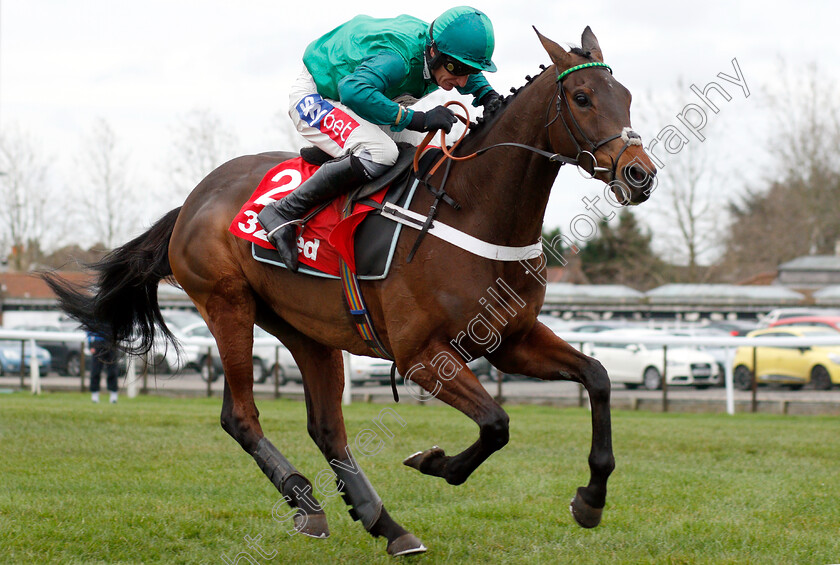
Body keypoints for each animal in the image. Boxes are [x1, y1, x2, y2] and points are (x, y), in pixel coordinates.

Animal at [46, 27, 656, 556]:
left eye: (626, 96)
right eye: (581, 97)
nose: (639, 174)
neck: (474, 212)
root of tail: (193, 201)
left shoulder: (511, 340)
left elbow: (598, 378)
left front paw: (591, 499)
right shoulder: (421, 356)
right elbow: (496, 424)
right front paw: (434, 462)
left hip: (307, 329)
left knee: (326, 428)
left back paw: (386, 524)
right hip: (227, 305)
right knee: (240, 415)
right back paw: (308, 504)